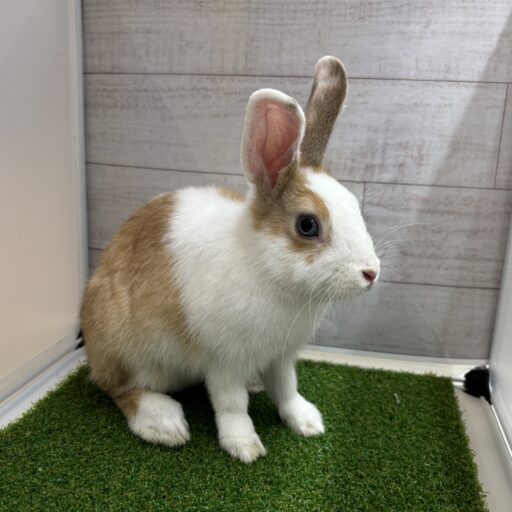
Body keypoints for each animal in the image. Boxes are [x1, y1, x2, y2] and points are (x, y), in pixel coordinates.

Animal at [80, 56, 380, 463]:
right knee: (120, 390)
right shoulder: (225, 361)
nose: (371, 273)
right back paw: (164, 423)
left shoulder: (281, 356)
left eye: (353, 204)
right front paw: (245, 447)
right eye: (307, 225)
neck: (263, 268)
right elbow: (232, 404)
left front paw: (307, 422)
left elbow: (287, 389)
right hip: (126, 354)